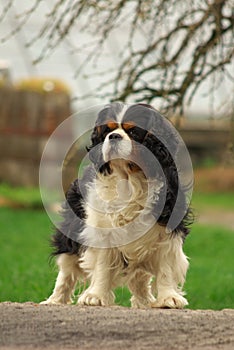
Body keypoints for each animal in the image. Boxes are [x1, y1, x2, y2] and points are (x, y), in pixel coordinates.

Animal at [41, 102, 193, 308]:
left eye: (134, 131)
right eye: (107, 130)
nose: (113, 136)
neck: (130, 180)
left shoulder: (167, 229)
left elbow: (166, 267)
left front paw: (168, 297)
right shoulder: (102, 230)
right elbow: (102, 266)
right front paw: (95, 295)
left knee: (139, 279)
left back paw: (144, 302)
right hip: (71, 234)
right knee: (66, 270)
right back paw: (55, 300)